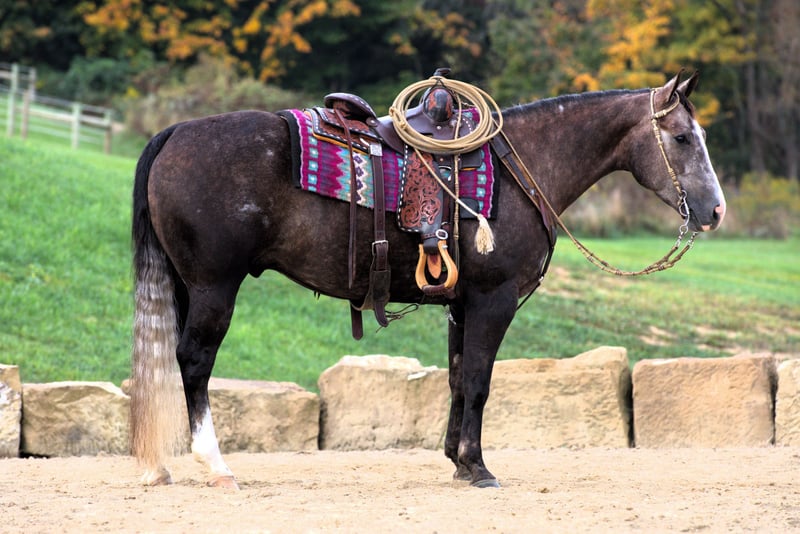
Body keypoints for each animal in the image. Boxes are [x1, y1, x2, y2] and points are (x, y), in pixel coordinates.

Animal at [130, 71, 724, 490]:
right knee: (194, 361)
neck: (521, 169)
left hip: (186, 286)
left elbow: (459, 378)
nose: (715, 211)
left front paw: (457, 461)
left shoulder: (461, 304)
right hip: (214, 286)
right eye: (681, 137)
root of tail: (175, 132)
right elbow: (480, 381)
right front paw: (478, 467)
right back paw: (215, 464)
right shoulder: (492, 300)